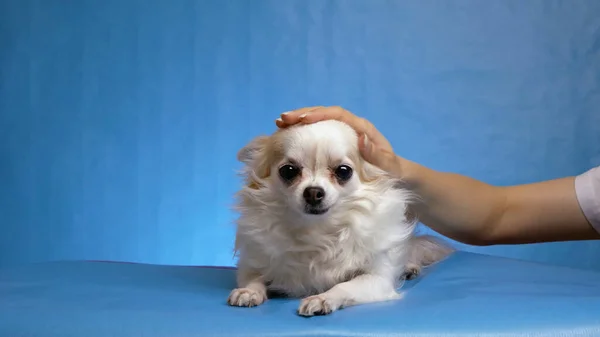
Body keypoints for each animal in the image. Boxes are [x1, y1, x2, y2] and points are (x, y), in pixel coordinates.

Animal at [227, 119, 452, 316]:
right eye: (288, 171)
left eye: (343, 171)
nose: (313, 192)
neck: (316, 230)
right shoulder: (252, 264)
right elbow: (253, 276)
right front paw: (249, 291)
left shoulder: (377, 279)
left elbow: (345, 286)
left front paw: (323, 298)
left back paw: (408, 268)